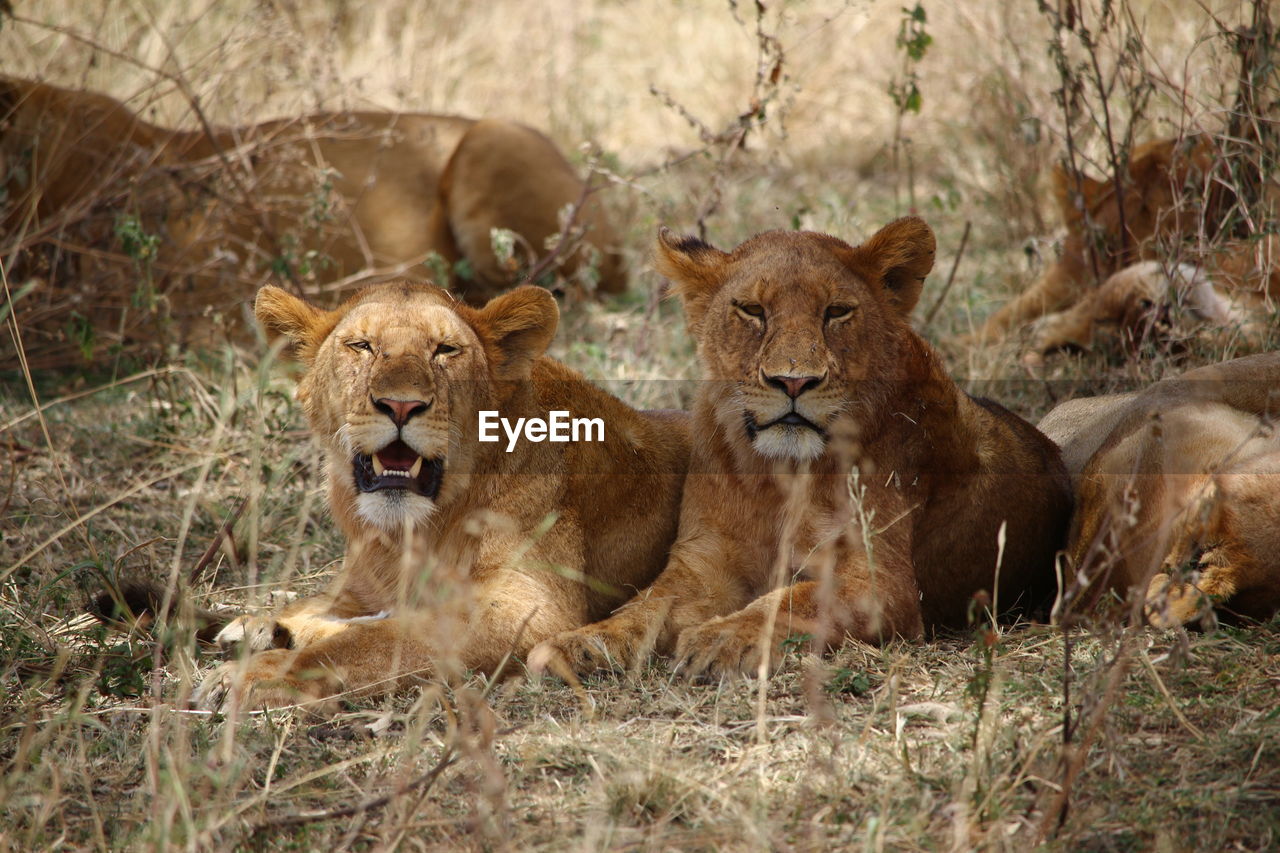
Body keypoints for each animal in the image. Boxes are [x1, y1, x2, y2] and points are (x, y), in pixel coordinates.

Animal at [524, 217, 1075, 676]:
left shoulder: (884, 584)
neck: (780, 476)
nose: (793, 382)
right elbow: (645, 604)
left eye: (837, 312)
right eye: (752, 310)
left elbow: (792, 598)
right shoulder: (703, 562)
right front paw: (582, 644)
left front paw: (723, 637)